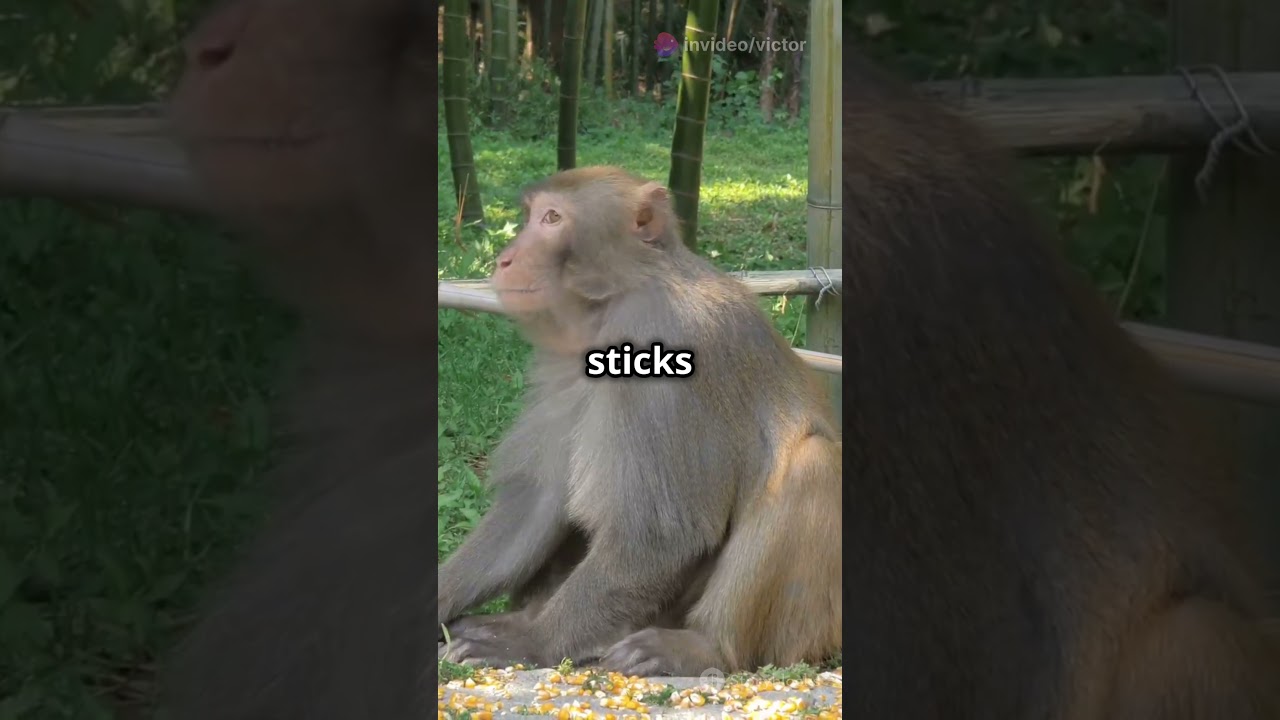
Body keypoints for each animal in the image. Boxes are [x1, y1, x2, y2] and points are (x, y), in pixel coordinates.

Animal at [437, 166, 843, 676]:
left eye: (552, 219)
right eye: (530, 216)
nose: (505, 259)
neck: (614, 300)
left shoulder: (663, 337)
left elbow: (661, 532)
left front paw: (529, 641)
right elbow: (537, 501)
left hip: (809, 625)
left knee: (813, 463)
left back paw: (705, 647)